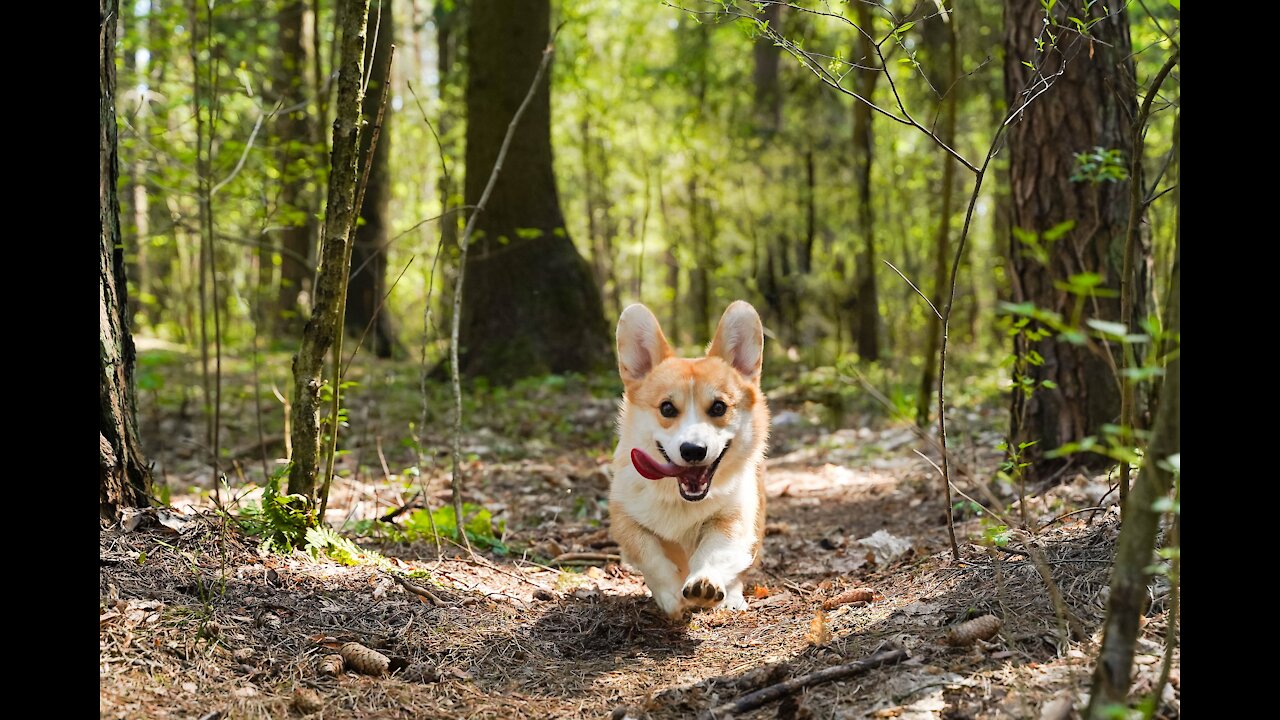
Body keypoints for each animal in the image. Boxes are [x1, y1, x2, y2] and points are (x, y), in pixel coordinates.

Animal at [609, 299, 768, 620]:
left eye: (719, 407)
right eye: (667, 408)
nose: (693, 450)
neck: (682, 500)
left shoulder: (731, 517)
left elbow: (715, 550)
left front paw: (704, 583)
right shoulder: (625, 519)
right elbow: (650, 554)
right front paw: (670, 596)